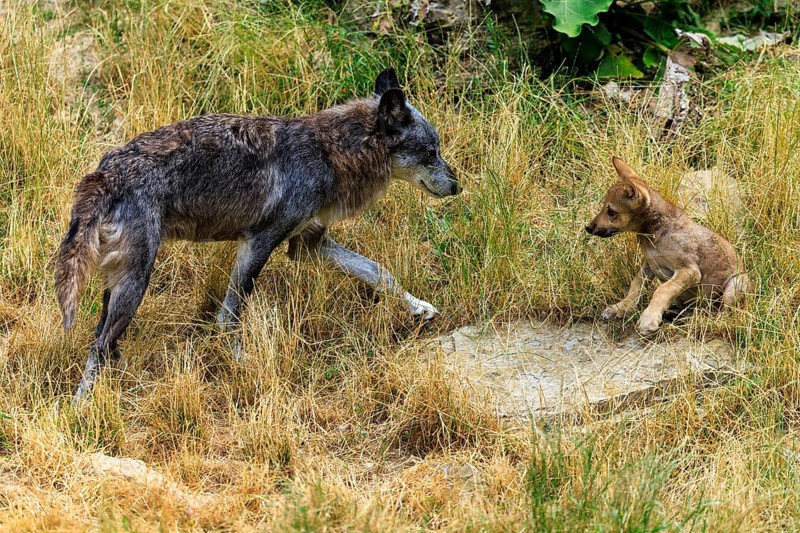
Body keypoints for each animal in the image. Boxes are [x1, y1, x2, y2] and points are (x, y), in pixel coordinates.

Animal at [55, 68, 460, 400]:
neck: (331, 153)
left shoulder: (309, 245)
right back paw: (80, 411)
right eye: (431, 152)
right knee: (99, 345)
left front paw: (418, 306)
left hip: (121, 282)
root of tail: (106, 170)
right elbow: (228, 318)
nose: (458, 186)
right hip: (137, 280)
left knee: (101, 339)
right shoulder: (259, 242)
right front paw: (249, 367)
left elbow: (379, 271)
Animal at [585, 157, 750, 336]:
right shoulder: (649, 264)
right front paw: (621, 307)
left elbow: (662, 290)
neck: (655, 233)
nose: (588, 228)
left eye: (611, 212)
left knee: (720, 314)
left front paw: (649, 318)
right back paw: (672, 313)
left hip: (733, 286)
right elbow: (636, 285)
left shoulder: (689, 271)